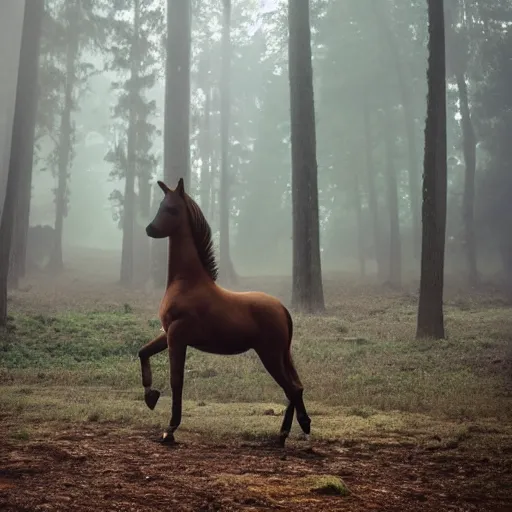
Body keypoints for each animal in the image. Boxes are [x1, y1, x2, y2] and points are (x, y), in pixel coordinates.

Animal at [138, 178, 310, 446]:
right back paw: (293, 430)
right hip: (282, 354)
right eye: (160, 205)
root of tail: (282, 309)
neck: (187, 282)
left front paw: (169, 430)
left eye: (172, 209)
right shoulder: (168, 333)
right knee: (296, 387)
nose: (150, 229)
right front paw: (150, 395)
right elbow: (143, 352)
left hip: (270, 354)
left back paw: (289, 433)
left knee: (291, 388)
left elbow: (176, 381)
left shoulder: (177, 336)